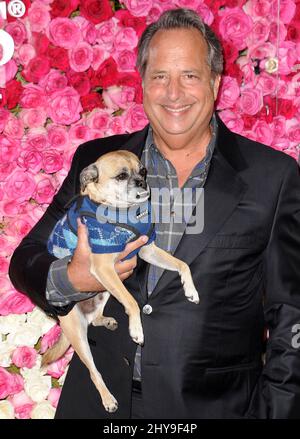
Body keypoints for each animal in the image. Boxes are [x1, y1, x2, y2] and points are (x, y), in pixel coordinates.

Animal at [42, 150, 199, 412]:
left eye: (144, 171)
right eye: (122, 176)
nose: (142, 182)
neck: (123, 212)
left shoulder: (146, 250)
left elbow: (181, 264)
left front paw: (191, 290)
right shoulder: (104, 268)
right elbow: (132, 302)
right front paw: (136, 330)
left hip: (103, 292)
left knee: (95, 317)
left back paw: (105, 321)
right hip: (81, 333)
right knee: (94, 371)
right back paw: (108, 399)